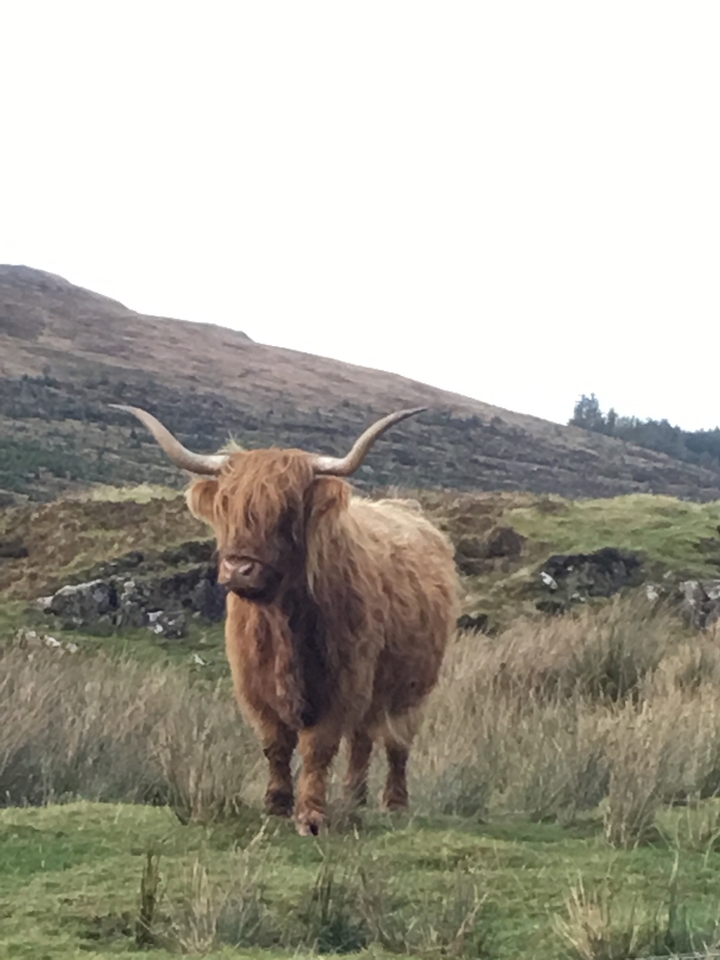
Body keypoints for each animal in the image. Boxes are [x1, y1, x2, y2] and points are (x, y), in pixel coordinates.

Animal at [112, 404, 459, 835]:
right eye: (226, 505)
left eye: (287, 509)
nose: (239, 569)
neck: (282, 622)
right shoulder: (253, 686)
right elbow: (275, 743)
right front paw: (276, 804)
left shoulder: (343, 684)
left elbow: (317, 748)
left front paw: (310, 815)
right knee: (362, 741)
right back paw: (354, 798)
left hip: (412, 688)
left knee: (397, 742)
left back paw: (394, 803)